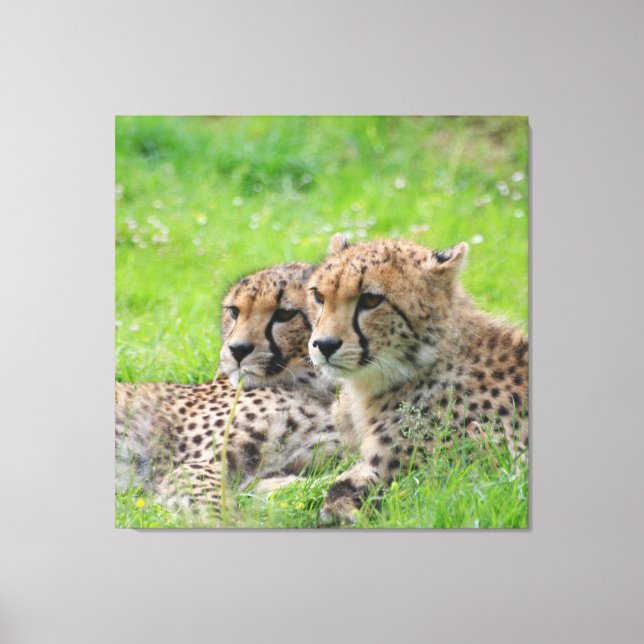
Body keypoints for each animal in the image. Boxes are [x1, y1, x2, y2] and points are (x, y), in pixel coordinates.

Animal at [116, 262, 342, 520]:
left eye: (285, 314)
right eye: (234, 311)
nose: (237, 349)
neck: (315, 386)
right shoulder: (195, 466)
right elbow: (218, 509)